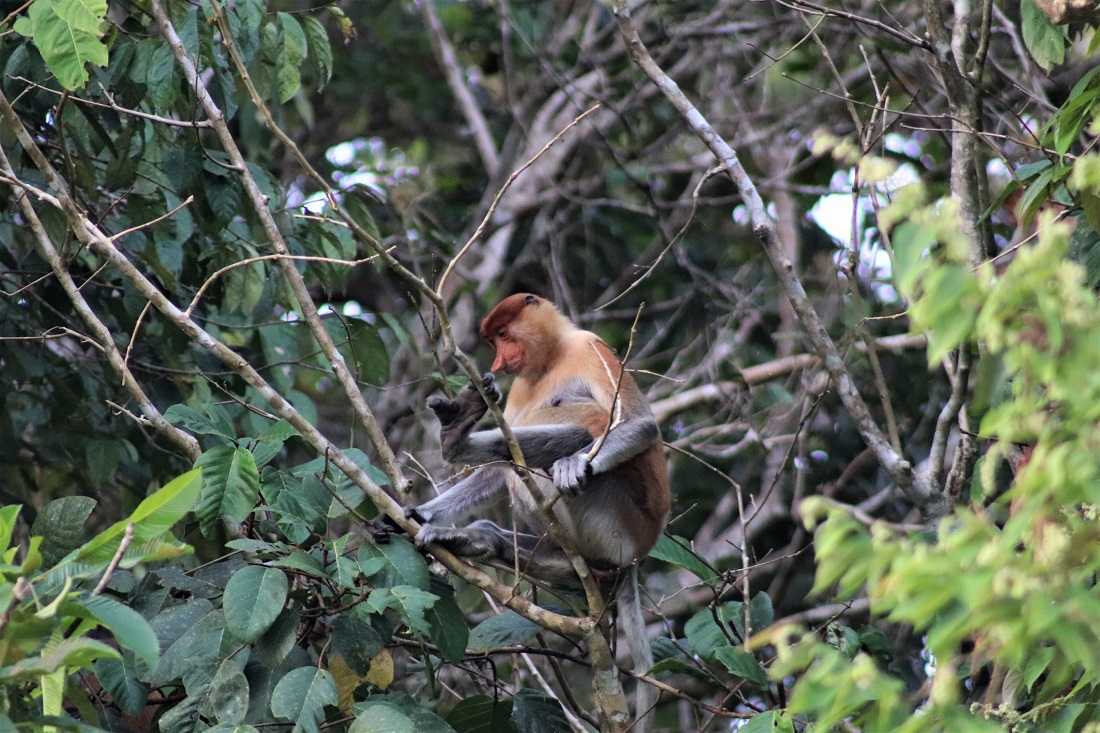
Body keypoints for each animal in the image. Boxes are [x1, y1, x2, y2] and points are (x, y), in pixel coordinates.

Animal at [411, 293, 669, 732]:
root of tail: (638, 552)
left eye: (502, 334)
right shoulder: (519, 388)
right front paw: (417, 516)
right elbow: (500, 468)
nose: (500, 360)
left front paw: (572, 464)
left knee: (587, 423)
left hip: (617, 523)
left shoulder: (588, 347)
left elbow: (640, 424)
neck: (551, 358)